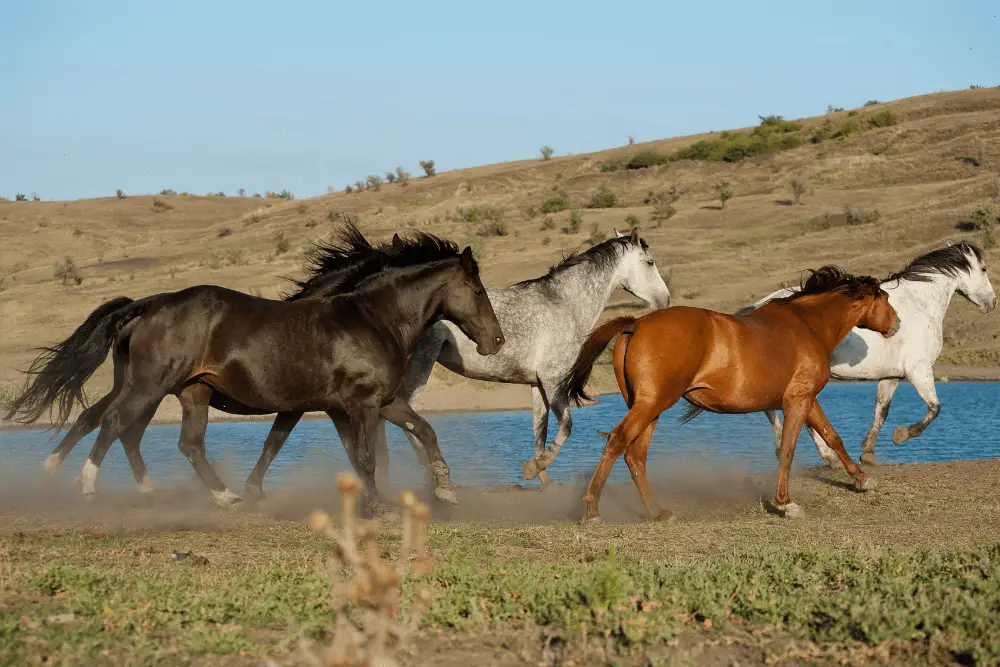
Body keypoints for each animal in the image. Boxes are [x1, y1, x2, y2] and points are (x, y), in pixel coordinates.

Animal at [5, 232, 508, 516]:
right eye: (479, 290)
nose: (497, 341)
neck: (372, 319)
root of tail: (150, 303)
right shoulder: (360, 403)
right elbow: (364, 456)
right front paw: (379, 506)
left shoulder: (367, 403)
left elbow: (418, 432)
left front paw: (443, 491)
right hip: (148, 387)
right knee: (111, 425)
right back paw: (86, 486)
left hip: (188, 392)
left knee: (179, 442)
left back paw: (221, 498)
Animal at [368, 227, 672, 494]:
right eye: (649, 262)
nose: (665, 301)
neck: (565, 304)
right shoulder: (553, 380)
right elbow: (566, 427)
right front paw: (533, 469)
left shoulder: (538, 385)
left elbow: (540, 433)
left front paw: (543, 478)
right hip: (421, 363)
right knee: (406, 413)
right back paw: (429, 475)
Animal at [564, 266, 900, 520]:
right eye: (884, 298)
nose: (896, 324)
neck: (809, 325)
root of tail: (636, 324)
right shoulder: (798, 400)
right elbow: (788, 449)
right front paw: (786, 503)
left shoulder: (808, 399)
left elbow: (833, 437)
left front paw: (862, 480)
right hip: (651, 404)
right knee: (617, 441)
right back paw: (592, 509)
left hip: (649, 407)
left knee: (635, 455)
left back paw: (657, 512)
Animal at [740, 243, 996, 468]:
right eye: (984, 269)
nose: (992, 303)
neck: (919, 304)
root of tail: (755, 309)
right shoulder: (919, 370)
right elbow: (935, 408)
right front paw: (901, 435)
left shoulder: (892, 376)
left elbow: (881, 411)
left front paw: (868, 452)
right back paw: (827, 458)